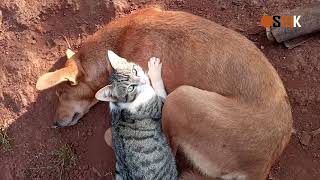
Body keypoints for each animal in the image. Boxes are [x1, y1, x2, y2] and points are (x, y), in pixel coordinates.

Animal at [95, 50, 178, 180]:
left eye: (134, 71)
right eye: (131, 88)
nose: (143, 81)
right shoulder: (160, 106)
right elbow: (159, 89)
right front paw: (154, 70)